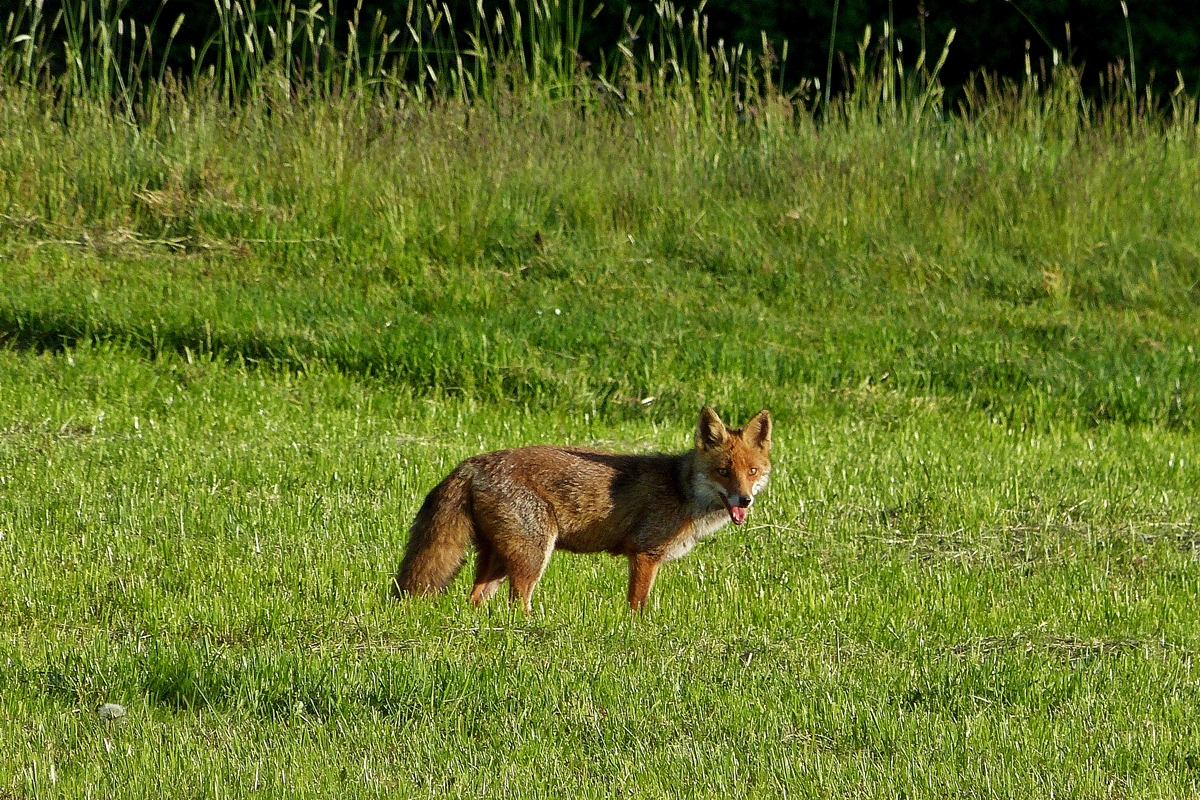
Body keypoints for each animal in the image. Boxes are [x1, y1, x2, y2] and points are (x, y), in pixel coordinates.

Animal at [388, 407, 772, 614]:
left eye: (752, 471)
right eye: (723, 471)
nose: (744, 500)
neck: (682, 489)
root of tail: (472, 463)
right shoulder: (645, 554)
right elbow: (638, 605)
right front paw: (637, 631)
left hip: (497, 559)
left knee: (476, 599)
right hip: (533, 554)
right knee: (516, 603)